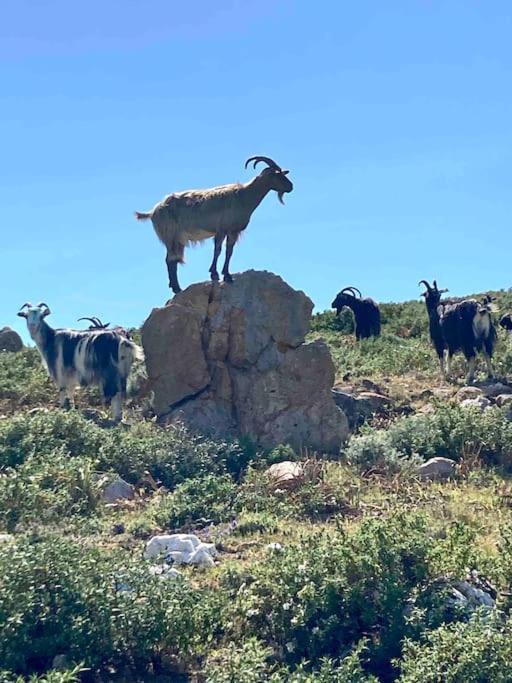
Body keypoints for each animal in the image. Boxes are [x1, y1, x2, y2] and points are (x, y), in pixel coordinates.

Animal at [134, 155, 294, 294]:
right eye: (278, 175)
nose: (291, 186)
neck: (244, 196)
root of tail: (153, 211)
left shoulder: (233, 231)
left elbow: (229, 251)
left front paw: (227, 275)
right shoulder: (221, 229)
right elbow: (217, 250)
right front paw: (215, 274)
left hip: (176, 239)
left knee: (171, 260)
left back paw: (174, 287)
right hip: (170, 235)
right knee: (170, 260)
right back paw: (177, 288)